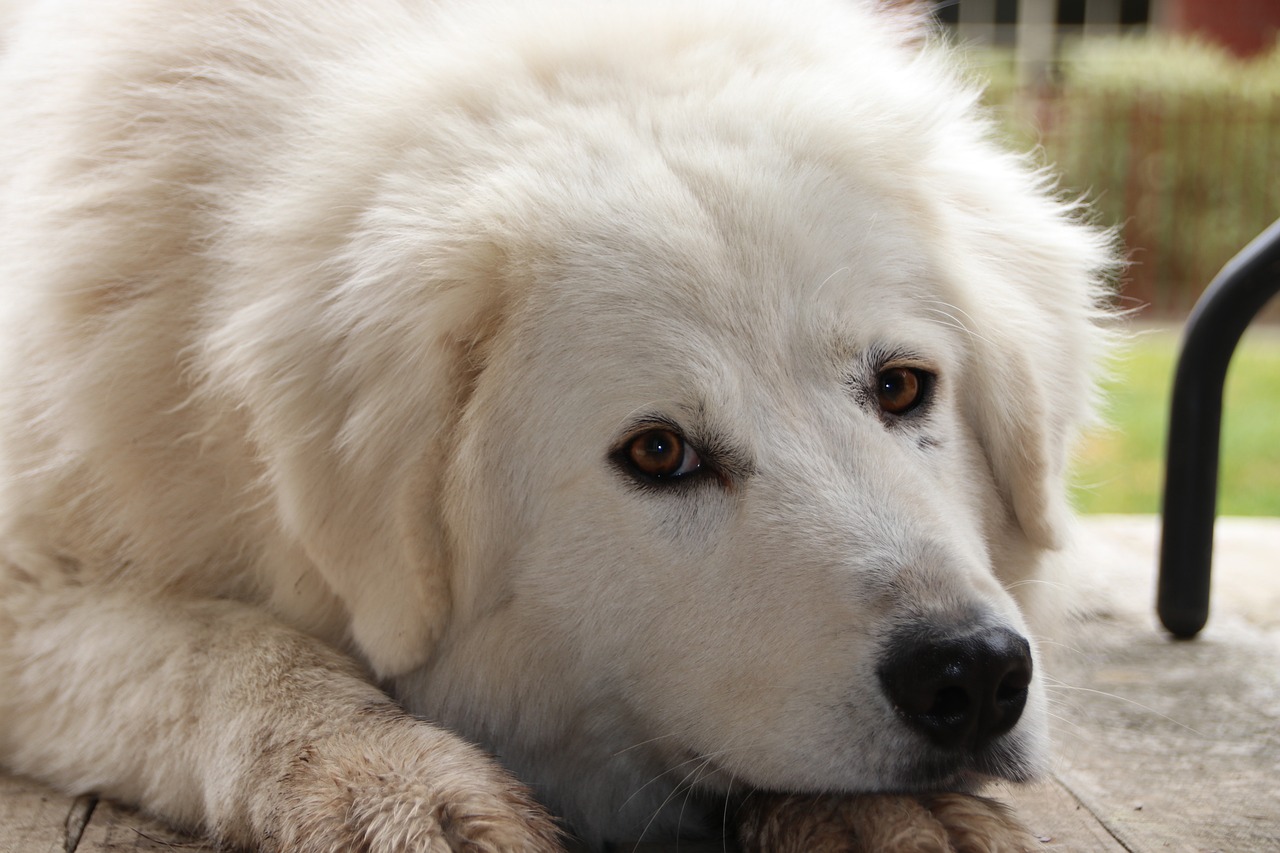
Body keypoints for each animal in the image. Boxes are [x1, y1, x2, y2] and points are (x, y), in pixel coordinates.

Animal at [0, 1, 1111, 845]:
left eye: (901, 388)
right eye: (659, 451)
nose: (970, 673)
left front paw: (887, 814)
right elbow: (213, 651)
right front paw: (389, 780)